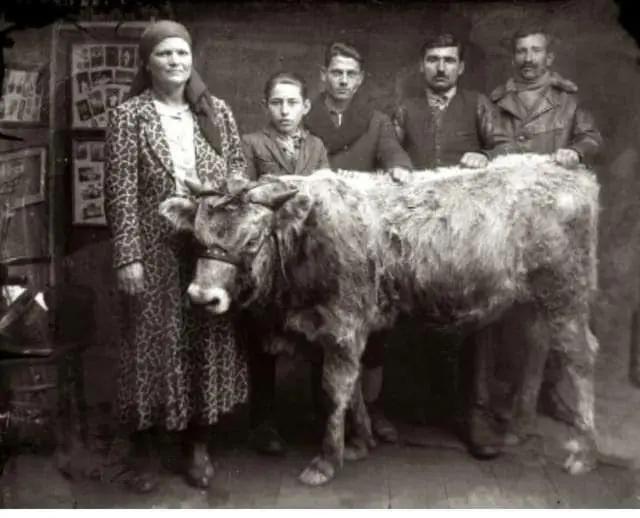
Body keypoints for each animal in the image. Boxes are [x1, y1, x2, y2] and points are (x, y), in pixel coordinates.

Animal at [159, 153, 600, 487]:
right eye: (197, 237)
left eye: (251, 240)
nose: (202, 297)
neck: (307, 237)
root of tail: (566, 169)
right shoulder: (335, 328)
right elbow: (353, 385)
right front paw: (361, 442)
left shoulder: (343, 324)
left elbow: (335, 388)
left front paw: (327, 460)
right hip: (535, 301)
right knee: (539, 348)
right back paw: (518, 428)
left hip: (568, 292)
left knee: (581, 358)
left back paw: (584, 451)